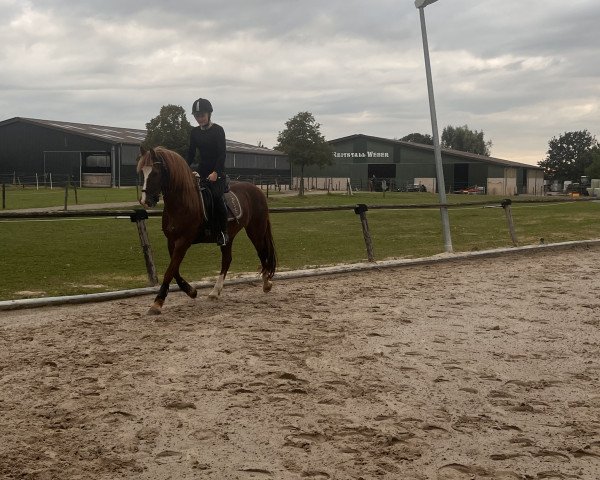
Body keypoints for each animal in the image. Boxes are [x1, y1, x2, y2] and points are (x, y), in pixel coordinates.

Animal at [137, 146, 276, 316]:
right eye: (142, 172)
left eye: (155, 173)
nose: (145, 201)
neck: (183, 202)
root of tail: (257, 189)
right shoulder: (172, 241)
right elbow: (174, 270)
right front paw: (191, 291)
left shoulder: (183, 242)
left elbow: (170, 271)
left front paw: (157, 303)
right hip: (228, 236)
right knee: (227, 260)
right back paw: (215, 292)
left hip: (255, 230)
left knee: (262, 252)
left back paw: (266, 284)